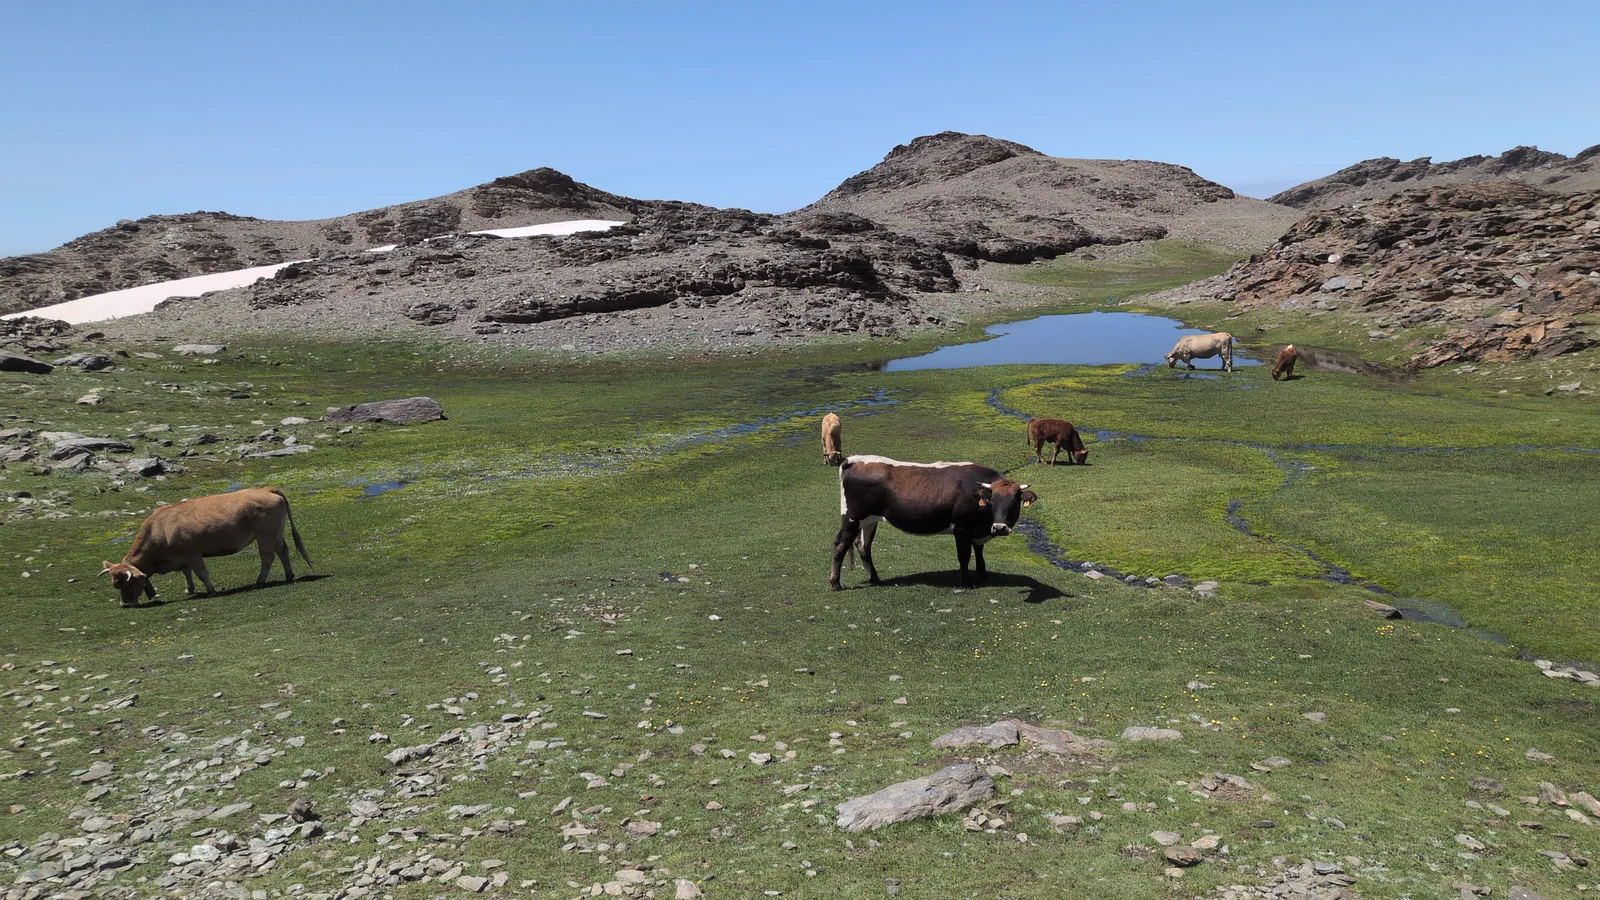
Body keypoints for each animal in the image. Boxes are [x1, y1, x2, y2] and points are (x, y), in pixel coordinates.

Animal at [102, 488, 313, 607]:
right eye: (115, 584)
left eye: (129, 584)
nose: (125, 604)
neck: (160, 529)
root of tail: (267, 489)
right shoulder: (183, 558)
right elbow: (186, 573)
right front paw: (190, 589)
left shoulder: (193, 554)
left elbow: (201, 573)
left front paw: (211, 591)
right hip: (275, 534)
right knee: (283, 551)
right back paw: (288, 576)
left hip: (265, 536)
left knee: (268, 558)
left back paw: (259, 582)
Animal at [831, 456, 1036, 590]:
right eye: (992, 503)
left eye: (1013, 503)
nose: (1000, 528)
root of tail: (854, 460)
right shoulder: (961, 527)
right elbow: (964, 556)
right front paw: (966, 583)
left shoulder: (978, 529)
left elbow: (979, 550)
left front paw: (983, 573)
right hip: (852, 518)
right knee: (841, 546)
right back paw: (835, 584)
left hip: (869, 520)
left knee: (863, 545)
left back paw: (874, 578)